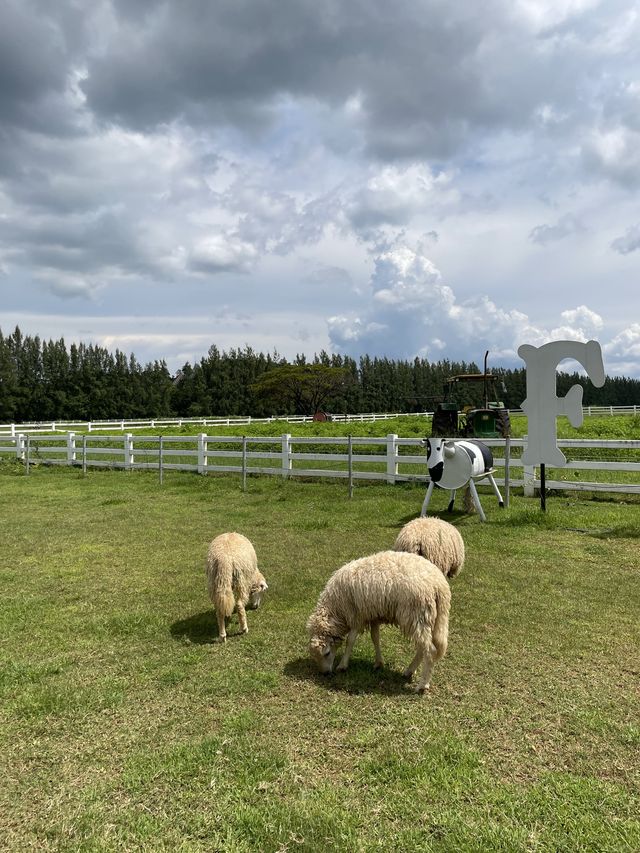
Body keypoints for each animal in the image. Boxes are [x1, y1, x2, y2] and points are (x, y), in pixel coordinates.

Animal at [306, 552, 450, 692]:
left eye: (327, 653)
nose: (325, 673)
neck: (336, 609)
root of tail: (439, 585)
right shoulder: (373, 615)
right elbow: (375, 638)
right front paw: (378, 663)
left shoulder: (357, 616)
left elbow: (350, 641)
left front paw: (342, 665)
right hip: (432, 619)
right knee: (422, 648)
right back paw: (409, 671)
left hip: (417, 616)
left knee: (429, 650)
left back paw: (422, 685)